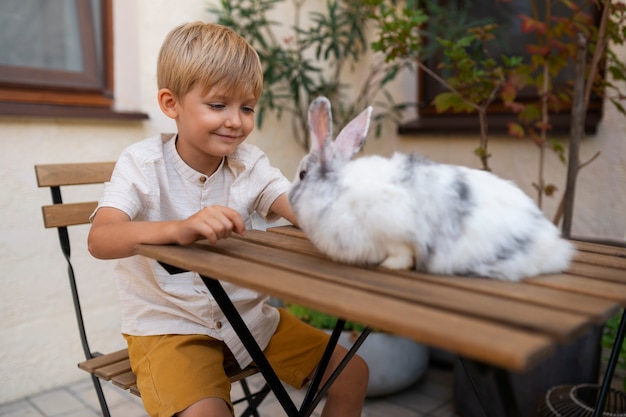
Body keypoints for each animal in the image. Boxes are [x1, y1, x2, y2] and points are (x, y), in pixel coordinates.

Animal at [286, 96, 572, 282]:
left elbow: (403, 253)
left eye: (302, 175)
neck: (333, 189)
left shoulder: (395, 230)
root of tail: (555, 247)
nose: (289, 197)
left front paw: (390, 266)